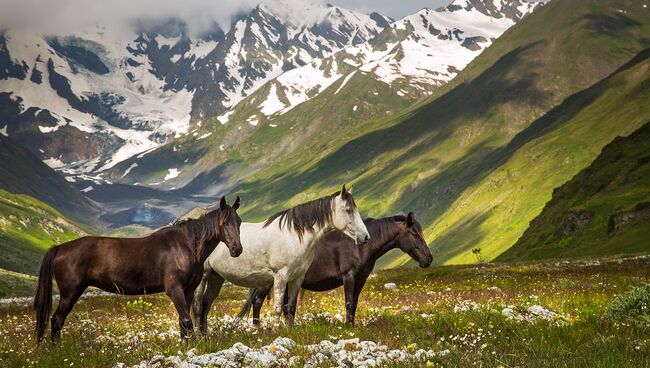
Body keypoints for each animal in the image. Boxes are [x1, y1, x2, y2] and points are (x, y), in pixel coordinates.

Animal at [33, 197, 240, 344]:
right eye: (224, 222)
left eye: (238, 221)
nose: (237, 249)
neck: (185, 246)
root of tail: (60, 247)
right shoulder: (175, 290)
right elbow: (187, 321)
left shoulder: (188, 291)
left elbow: (183, 321)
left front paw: (186, 346)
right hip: (70, 292)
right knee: (56, 320)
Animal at [190, 185, 368, 332]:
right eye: (348, 210)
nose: (365, 237)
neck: (294, 236)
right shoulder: (280, 277)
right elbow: (277, 307)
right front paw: (277, 331)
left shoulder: (297, 278)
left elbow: (290, 308)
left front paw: (290, 330)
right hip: (204, 276)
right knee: (198, 305)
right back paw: (199, 335)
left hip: (216, 277)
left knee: (206, 304)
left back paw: (206, 334)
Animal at [237, 213, 430, 324]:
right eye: (414, 233)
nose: (428, 259)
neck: (360, 246)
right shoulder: (349, 276)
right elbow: (349, 302)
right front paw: (347, 327)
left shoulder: (360, 279)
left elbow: (354, 304)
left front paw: (351, 325)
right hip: (267, 283)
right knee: (258, 302)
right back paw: (257, 328)